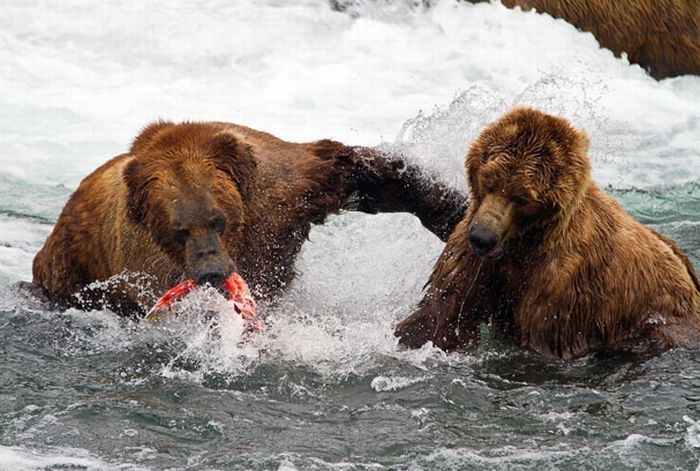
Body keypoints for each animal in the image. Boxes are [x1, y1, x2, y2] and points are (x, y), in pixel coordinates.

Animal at [31, 121, 464, 318]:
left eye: (217, 220)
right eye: (179, 231)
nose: (211, 270)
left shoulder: (284, 189)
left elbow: (363, 174)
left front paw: (452, 212)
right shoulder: (145, 263)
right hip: (74, 265)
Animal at [394, 106, 700, 358]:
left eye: (522, 198)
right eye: (489, 180)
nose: (482, 238)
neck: (525, 242)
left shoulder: (559, 285)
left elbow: (541, 342)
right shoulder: (476, 258)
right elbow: (440, 317)